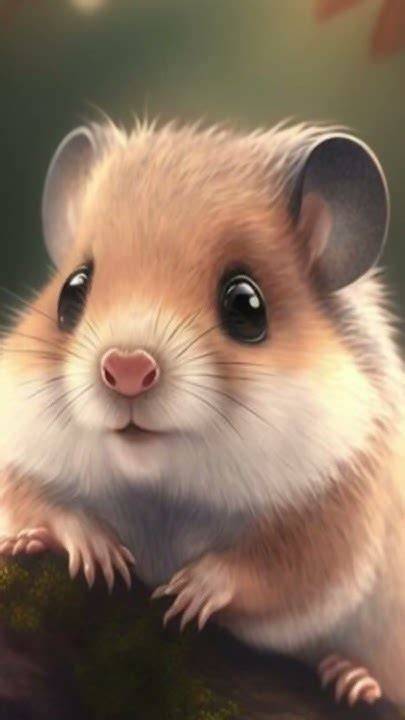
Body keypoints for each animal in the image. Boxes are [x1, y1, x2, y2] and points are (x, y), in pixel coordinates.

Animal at [0, 117, 404, 708]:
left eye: (246, 303)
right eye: (71, 291)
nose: (126, 370)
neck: (159, 486)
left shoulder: (339, 516)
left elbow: (277, 569)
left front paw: (187, 592)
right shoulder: (19, 453)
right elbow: (39, 503)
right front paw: (83, 550)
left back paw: (354, 679)